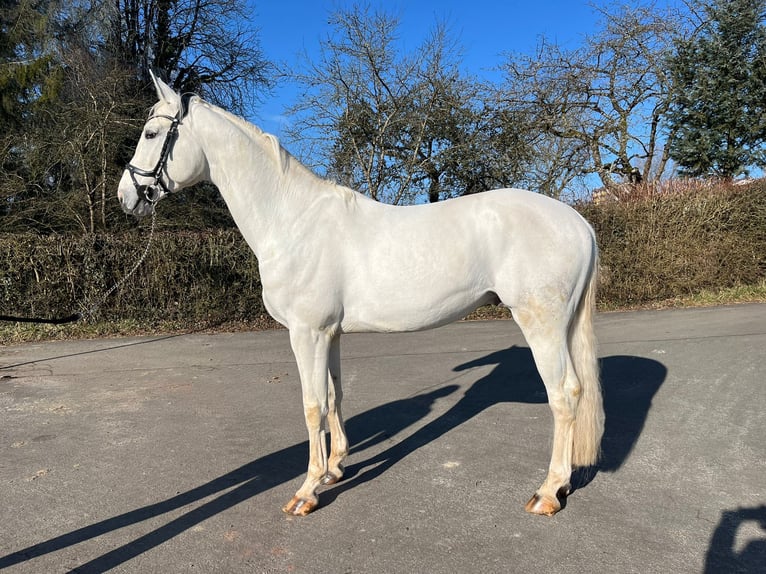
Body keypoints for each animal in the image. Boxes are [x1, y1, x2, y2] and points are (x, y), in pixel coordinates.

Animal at [118, 74, 608, 520]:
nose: (126, 197)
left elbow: (312, 406)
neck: (292, 220)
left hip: (542, 325)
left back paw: (548, 492)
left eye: (151, 133)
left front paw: (308, 491)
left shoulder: (307, 333)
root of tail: (579, 222)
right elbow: (335, 396)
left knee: (564, 395)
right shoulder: (330, 333)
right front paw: (335, 468)